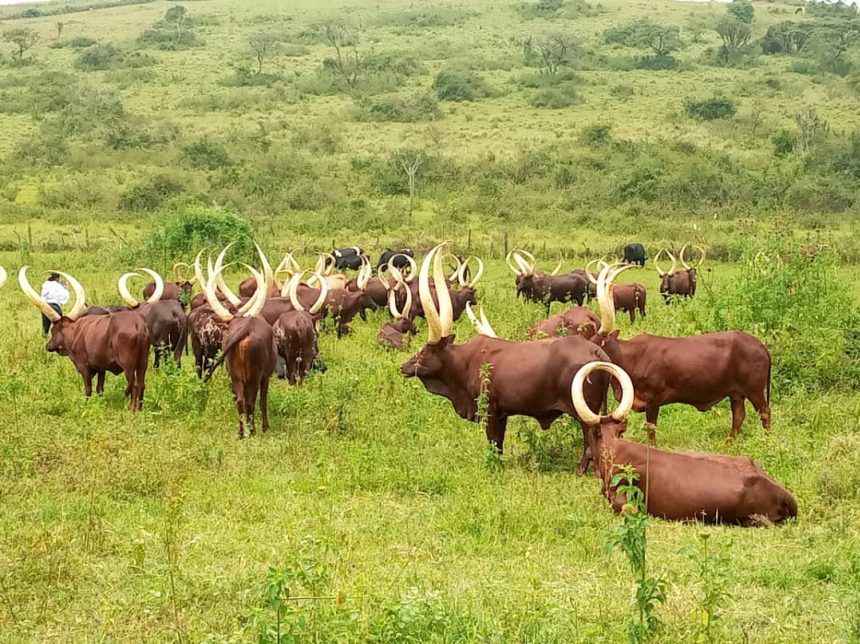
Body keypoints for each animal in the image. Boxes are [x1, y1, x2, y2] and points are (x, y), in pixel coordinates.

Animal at [18, 268, 149, 412]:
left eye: (53, 330)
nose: (48, 346)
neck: (75, 332)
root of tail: (138, 325)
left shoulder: (84, 366)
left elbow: (88, 389)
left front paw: (86, 405)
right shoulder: (101, 367)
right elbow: (100, 388)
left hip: (128, 364)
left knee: (134, 385)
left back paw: (132, 410)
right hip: (143, 362)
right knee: (141, 384)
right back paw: (140, 409)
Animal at [204, 264, 276, 440]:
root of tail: (246, 328)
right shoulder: (266, 377)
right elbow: (263, 402)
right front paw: (265, 427)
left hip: (236, 376)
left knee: (240, 401)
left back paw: (241, 432)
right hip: (254, 376)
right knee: (250, 401)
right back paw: (253, 430)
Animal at [402, 243, 612, 472]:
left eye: (424, 351)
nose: (404, 367)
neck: (466, 362)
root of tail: (595, 351)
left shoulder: (490, 409)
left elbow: (493, 441)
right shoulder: (502, 413)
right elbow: (499, 442)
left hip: (585, 413)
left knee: (591, 438)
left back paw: (582, 469)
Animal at [592, 264, 772, 446]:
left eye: (594, 346)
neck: (630, 358)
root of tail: (759, 345)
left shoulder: (653, 400)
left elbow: (651, 430)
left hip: (754, 390)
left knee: (764, 412)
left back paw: (766, 440)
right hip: (736, 393)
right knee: (739, 414)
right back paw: (729, 441)